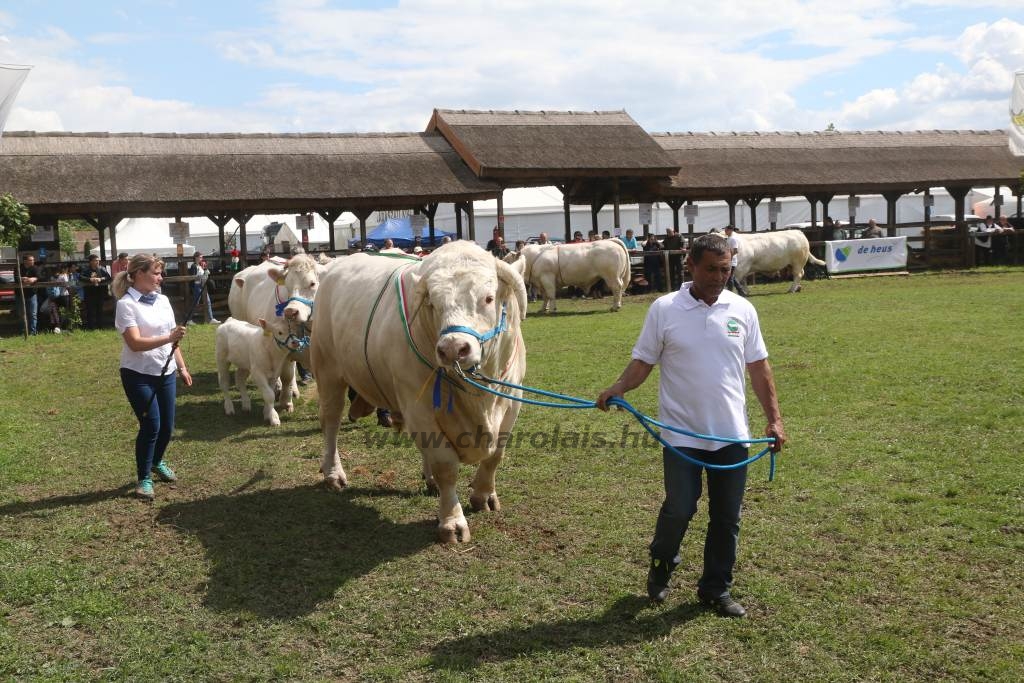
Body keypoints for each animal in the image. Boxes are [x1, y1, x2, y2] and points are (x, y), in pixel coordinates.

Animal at [311, 242, 528, 540]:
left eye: (488, 298)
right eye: (433, 303)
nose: (452, 348)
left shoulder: (512, 400)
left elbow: (496, 455)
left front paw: (483, 496)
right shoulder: (418, 406)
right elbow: (445, 465)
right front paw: (452, 521)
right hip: (328, 370)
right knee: (330, 422)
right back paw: (333, 474)